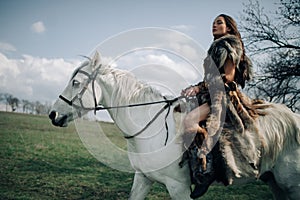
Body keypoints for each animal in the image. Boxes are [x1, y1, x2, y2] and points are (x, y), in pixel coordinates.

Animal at [49, 52, 300, 200]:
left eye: (75, 82)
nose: (53, 114)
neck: (150, 130)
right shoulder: (143, 178)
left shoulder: (178, 188)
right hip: (276, 184)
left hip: (291, 185)